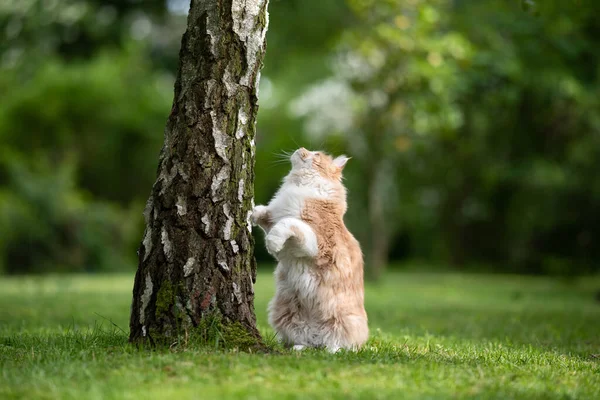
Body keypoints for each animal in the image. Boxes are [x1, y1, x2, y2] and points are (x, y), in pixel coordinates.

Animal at [251, 148, 368, 354]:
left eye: (317, 154)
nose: (301, 150)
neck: (300, 185)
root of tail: (317, 337)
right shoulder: (275, 220)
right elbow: (266, 214)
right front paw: (252, 214)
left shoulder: (316, 242)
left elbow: (288, 223)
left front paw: (272, 242)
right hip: (286, 315)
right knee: (308, 342)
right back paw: (299, 348)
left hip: (345, 322)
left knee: (341, 344)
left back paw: (333, 350)